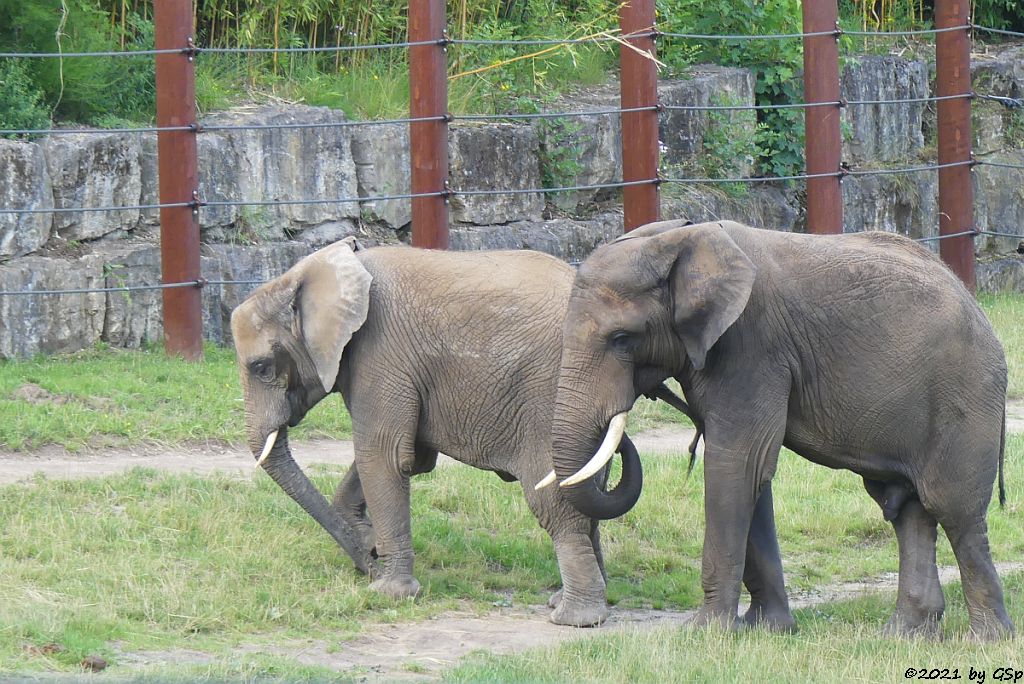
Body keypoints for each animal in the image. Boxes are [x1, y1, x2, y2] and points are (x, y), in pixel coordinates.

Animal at [230, 237, 655, 626]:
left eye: (261, 367)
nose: (367, 565)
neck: (311, 275)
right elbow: (409, 456)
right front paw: (368, 544)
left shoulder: (379, 354)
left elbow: (383, 455)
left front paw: (388, 593)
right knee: (588, 497)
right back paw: (570, 601)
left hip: (551, 398)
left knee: (555, 503)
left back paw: (575, 618)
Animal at [548, 220, 1011, 643]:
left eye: (622, 339)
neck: (679, 238)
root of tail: (981, 312)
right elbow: (752, 474)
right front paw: (769, 629)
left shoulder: (750, 347)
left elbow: (737, 465)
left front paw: (704, 634)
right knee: (908, 509)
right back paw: (901, 636)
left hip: (965, 393)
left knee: (955, 512)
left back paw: (986, 640)